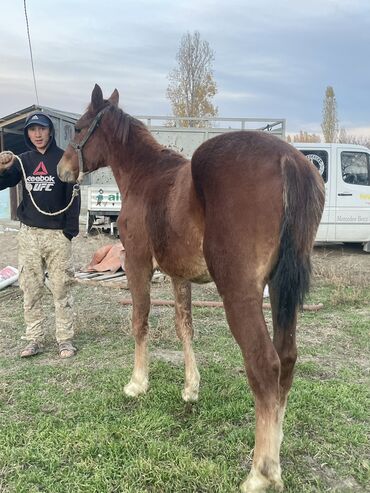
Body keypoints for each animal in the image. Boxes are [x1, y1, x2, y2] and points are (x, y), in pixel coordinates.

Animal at [57, 85, 324, 492]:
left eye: (79, 127)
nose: (62, 170)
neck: (146, 176)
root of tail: (287, 158)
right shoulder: (178, 276)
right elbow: (185, 327)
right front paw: (191, 388)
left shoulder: (138, 264)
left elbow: (140, 321)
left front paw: (137, 383)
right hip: (281, 291)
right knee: (288, 359)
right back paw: (275, 463)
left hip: (240, 295)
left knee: (265, 365)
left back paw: (259, 473)